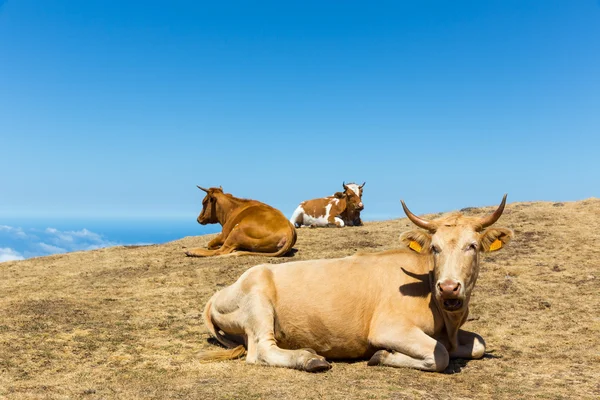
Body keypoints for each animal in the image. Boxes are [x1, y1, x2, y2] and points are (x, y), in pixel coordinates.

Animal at [199, 195, 512, 374]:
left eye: (472, 246)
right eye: (434, 248)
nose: (448, 287)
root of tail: (218, 294)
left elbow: (479, 344)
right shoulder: (389, 328)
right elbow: (442, 355)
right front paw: (382, 356)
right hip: (258, 301)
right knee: (261, 351)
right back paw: (309, 359)